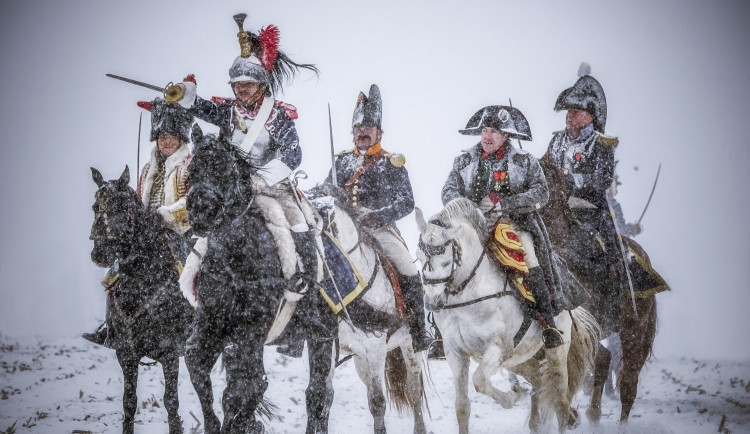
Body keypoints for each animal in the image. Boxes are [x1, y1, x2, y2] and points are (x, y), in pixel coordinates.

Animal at [89, 166, 194, 434]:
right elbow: (129, 402)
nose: (99, 253)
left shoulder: (170, 352)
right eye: (95, 206)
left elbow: (171, 402)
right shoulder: (126, 353)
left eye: (123, 206)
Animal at [185, 126, 338, 434]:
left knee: (317, 393)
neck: (235, 260)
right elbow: (199, 368)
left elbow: (247, 388)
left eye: (224, 171)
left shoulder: (252, 331)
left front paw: (241, 423)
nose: (201, 213)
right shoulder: (212, 326)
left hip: (322, 335)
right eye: (193, 170)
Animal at [306, 188, 428, 434]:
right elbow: (323, 397)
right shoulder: (325, 345)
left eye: (326, 220)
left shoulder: (376, 348)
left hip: (410, 347)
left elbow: (377, 402)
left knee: (413, 390)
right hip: (360, 360)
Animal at [418, 198, 600, 432]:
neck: (470, 294)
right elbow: (462, 407)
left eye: (446, 262)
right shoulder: (455, 354)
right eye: (419, 258)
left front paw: (514, 396)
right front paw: (518, 392)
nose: (432, 303)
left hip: (556, 351)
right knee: (543, 385)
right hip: (523, 359)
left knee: (560, 400)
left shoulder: (499, 348)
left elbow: (480, 381)